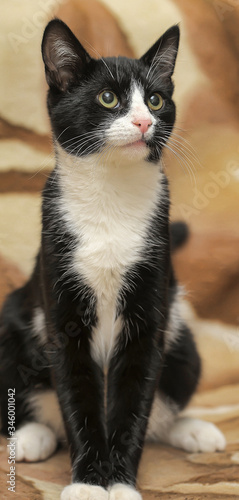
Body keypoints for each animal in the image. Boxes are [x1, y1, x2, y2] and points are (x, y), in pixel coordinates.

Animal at [0, 19, 225, 500]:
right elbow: (77, 393)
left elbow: (134, 400)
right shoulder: (61, 306)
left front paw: (119, 483)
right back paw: (31, 436)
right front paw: (88, 482)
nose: (143, 121)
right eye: (108, 98)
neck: (111, 198)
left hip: (183, 341)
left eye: (156, 99)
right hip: (12, 320)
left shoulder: (150, 308)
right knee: (37, 402)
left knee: (167, 397)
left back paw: (195, 430)